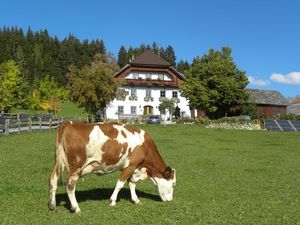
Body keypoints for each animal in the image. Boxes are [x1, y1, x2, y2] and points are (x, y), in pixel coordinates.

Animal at [48, 122, 176, 212]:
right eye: (173, 183)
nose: (171, 200)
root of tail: (68, 123)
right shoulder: (130, 165)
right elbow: (120, 184)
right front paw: (112, 201)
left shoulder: (133, 168)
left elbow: (132, 183)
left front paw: (135, 200)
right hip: (76, 167)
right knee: (70, 186)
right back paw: (76, 207)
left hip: (58, 163)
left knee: (53, 180)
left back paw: (53, 205)